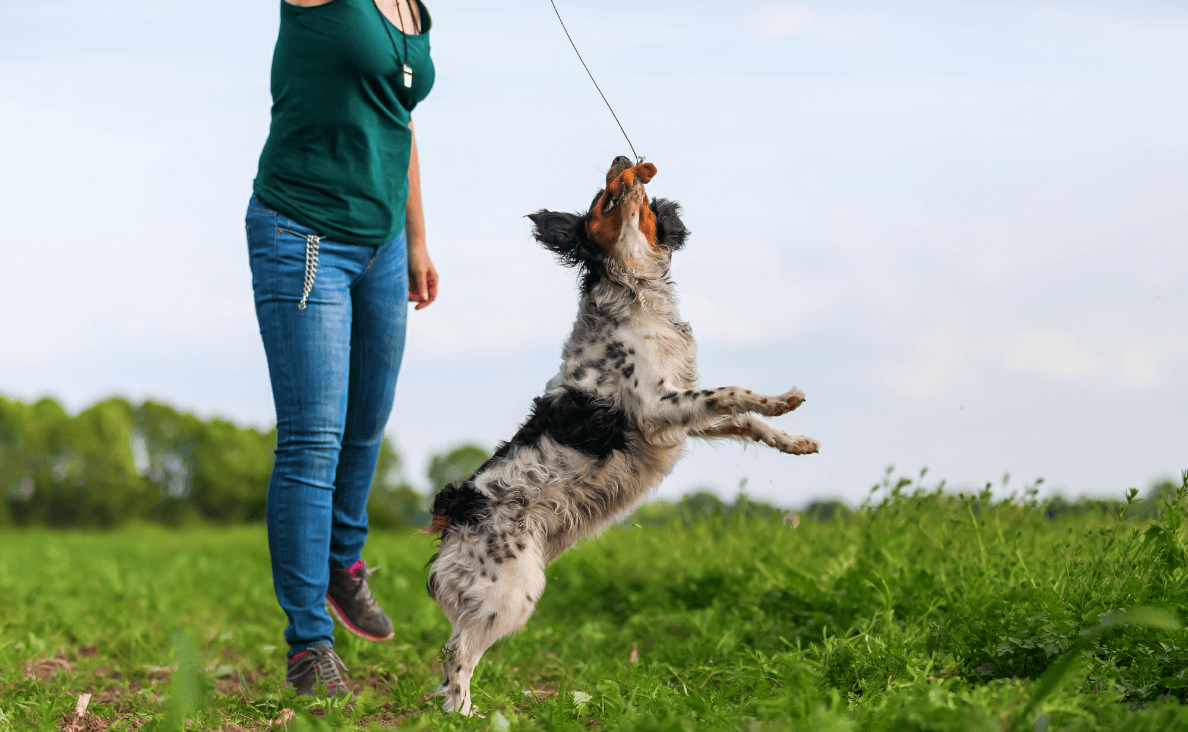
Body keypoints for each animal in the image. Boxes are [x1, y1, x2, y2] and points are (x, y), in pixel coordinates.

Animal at [422, 155, 812, 712]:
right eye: (598, 197)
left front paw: (795, 440)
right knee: (456, 655)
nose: (623, 159)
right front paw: (783, 399)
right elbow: (734, 391)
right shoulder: (656, 407)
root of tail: (456, 507)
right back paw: (465, 714)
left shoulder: (678, 418)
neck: (636, 293)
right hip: (511, 591)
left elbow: (744, 421)